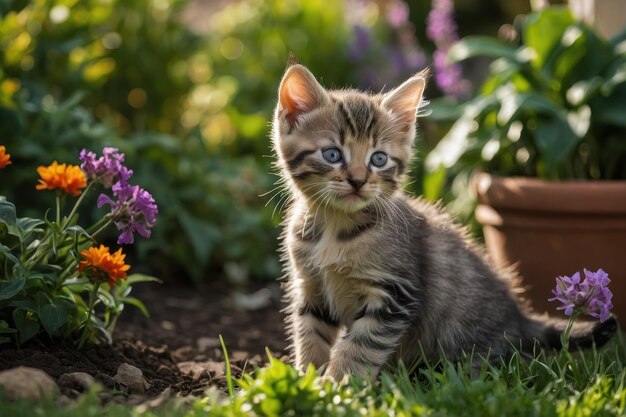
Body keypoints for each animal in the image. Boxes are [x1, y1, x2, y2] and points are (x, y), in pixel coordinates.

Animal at [270, 62, 616, 380]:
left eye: (378, 159)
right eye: (332, 154)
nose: (357, 181)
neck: (334, 226)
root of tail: (520, 317)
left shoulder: (395, 294)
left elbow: (360, 346)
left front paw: (339, 385)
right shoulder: (311, 287)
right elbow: (310, 335)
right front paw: (308, 379)